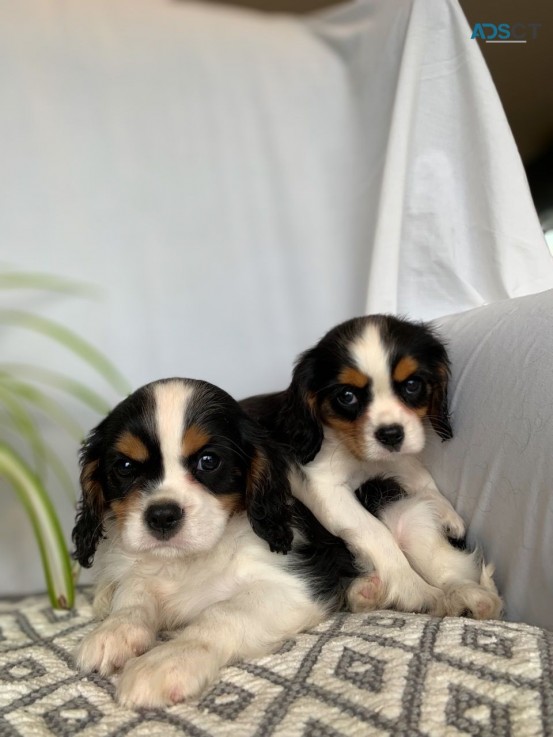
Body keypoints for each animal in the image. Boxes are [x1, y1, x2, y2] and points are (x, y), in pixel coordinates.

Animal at [73, 380, 338, 708]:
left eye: (209, 461)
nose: (162, 515)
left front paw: (166, 660)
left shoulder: (296, 586)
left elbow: (223, 613)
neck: (187, 560)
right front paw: (115, 629)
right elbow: (134, 591)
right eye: (124, 466)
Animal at [242, 314, 500, 620]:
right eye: (347, 396)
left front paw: (445, 510)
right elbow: (376, 533)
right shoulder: (323, 485)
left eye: (412, 384)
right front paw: (413, 587)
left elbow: (416, 471)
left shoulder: (396, 454)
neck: (355, 453)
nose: (390, 434)